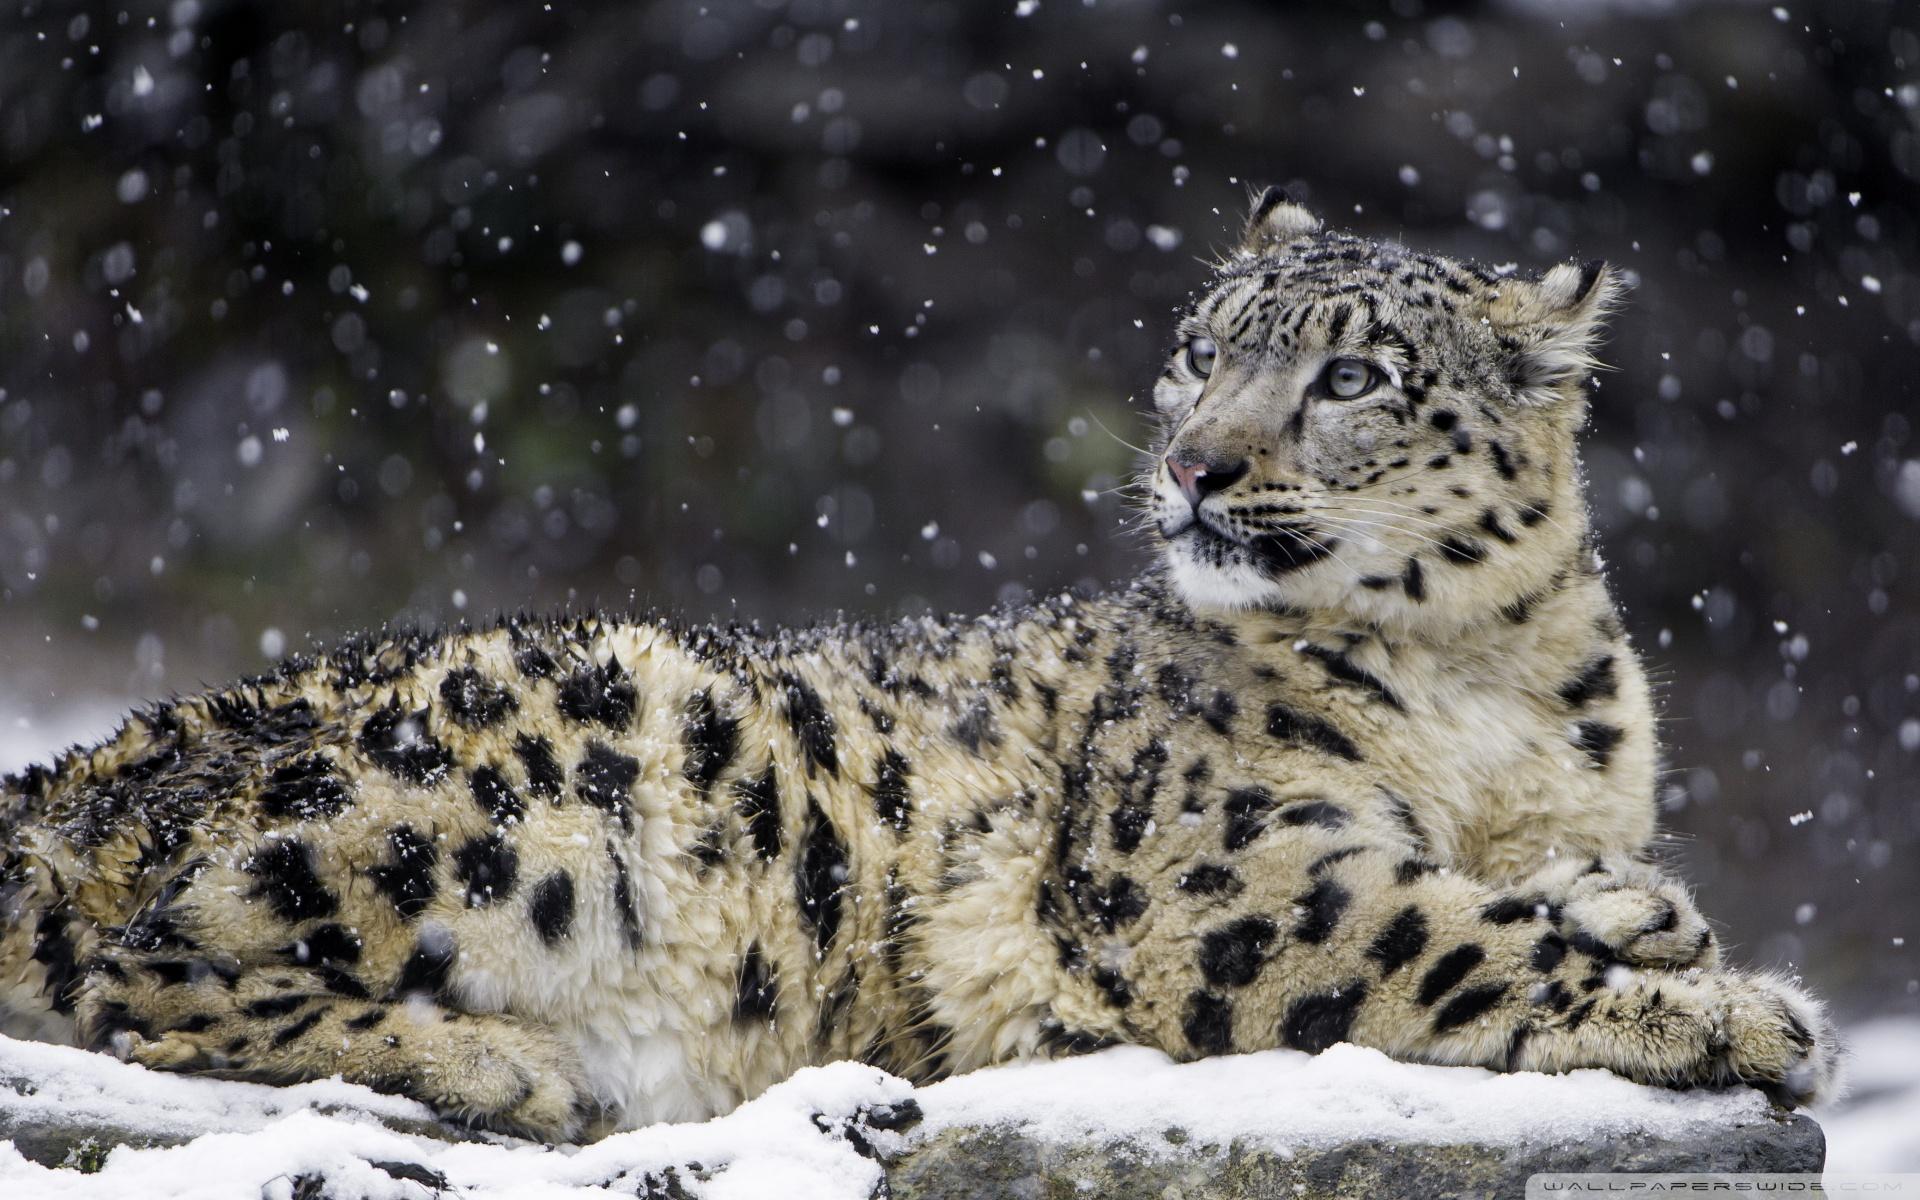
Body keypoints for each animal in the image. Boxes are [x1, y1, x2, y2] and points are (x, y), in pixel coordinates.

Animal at [0, 190, 1840, 1143]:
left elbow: (1528, 885)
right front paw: (1733, 1010)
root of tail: (86, 761)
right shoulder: (1218, 870)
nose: (1197, 466)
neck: (1486, 692)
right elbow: (1438, 935)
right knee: (134, 977)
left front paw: (1640, 906)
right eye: (1198, 354)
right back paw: (499, 1065)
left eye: (1353, 380)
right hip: (511, 797)